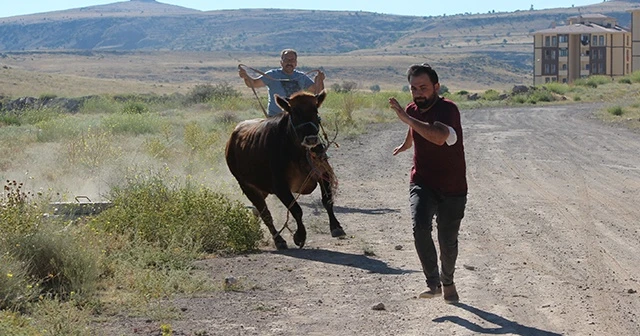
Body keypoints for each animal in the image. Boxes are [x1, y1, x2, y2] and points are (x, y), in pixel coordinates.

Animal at [225, 90, 344, 248]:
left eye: (315, 110)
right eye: (294, 112)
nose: (311, 139)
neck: (298, 152)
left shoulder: (323, 175)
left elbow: (327, 201)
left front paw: (336, 227)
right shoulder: (279, 186)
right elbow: (296, 210)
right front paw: (300, 236)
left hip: (261, 188)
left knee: (257, 210)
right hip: (247, 185)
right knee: (265, 214)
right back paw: (278, 239)